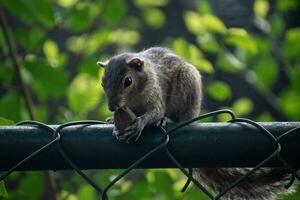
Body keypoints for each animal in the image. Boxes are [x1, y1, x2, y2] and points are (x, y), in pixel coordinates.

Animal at [97, 47, 296, 200]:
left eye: (128, 81)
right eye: (102, 83)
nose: (112, 106)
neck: (134, 98)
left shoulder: (156, 93)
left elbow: (154, 113)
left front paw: (141, 123)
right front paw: (113, 123)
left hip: (187, 87)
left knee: (182, 117)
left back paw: (167, 120)